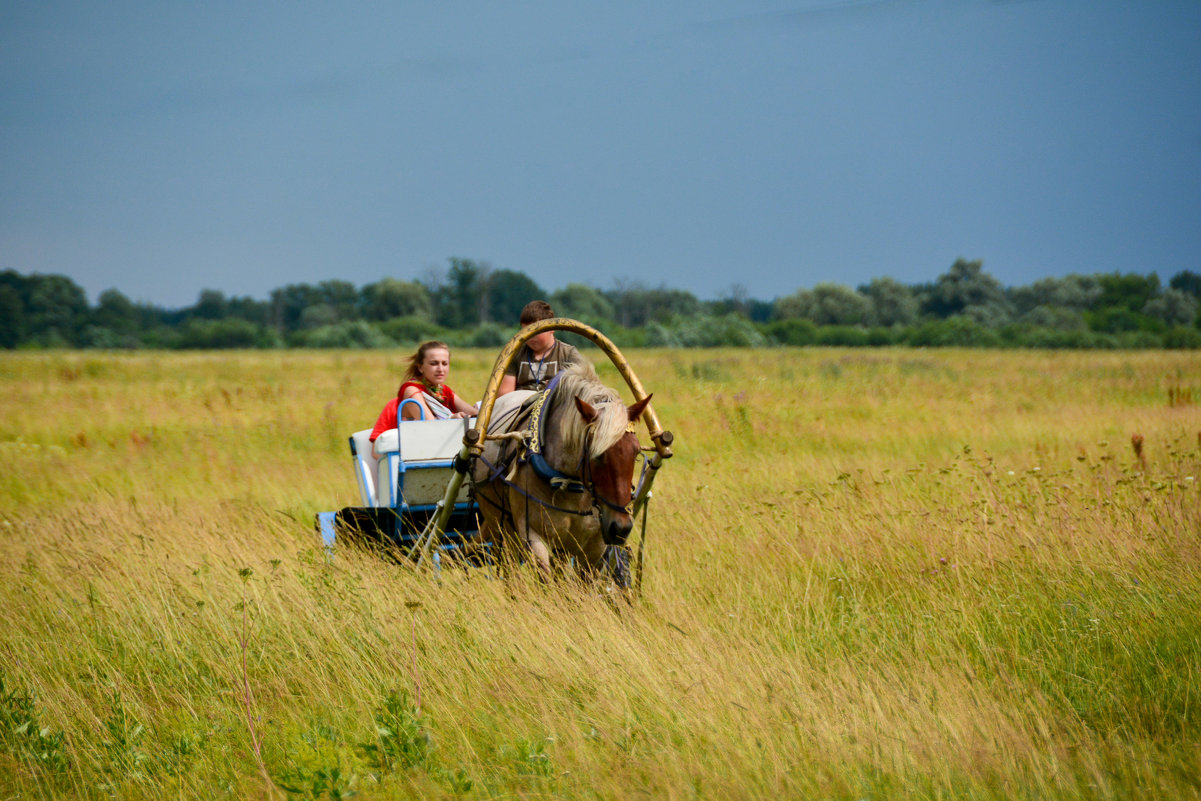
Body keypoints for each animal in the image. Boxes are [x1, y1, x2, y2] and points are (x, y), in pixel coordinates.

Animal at [470, 362, 658, 583]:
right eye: (597, 455)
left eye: (636, 453)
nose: (621, 529)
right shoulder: (533, 535)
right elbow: (546, 580)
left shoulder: (594, 546)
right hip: (501, 525)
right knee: (510, 567)